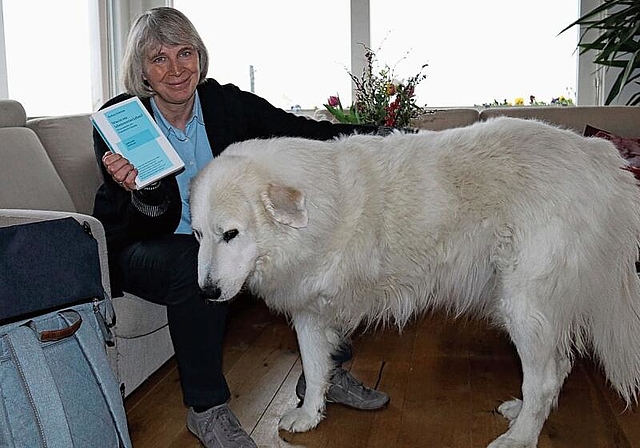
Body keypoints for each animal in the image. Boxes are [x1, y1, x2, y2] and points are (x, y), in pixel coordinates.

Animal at [189, 117, 640, 446]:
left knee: (543, 378)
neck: (321, 207)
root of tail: (600, 156)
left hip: (524, 305)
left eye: (230, 234)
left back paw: (520, 438)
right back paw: (522, 415)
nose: (206, 293)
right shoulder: (310, 312)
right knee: (556, 368)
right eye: (196, 235)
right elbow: (316, 369)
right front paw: (309, 415)